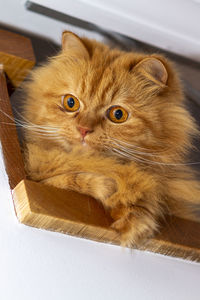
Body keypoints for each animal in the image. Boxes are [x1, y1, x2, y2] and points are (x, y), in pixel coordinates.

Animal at [22, 31, 200, 246]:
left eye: (118, 115)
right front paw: (114, 190)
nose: (83, 129)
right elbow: (71, 179)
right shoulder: (37, 171)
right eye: (71, 103)